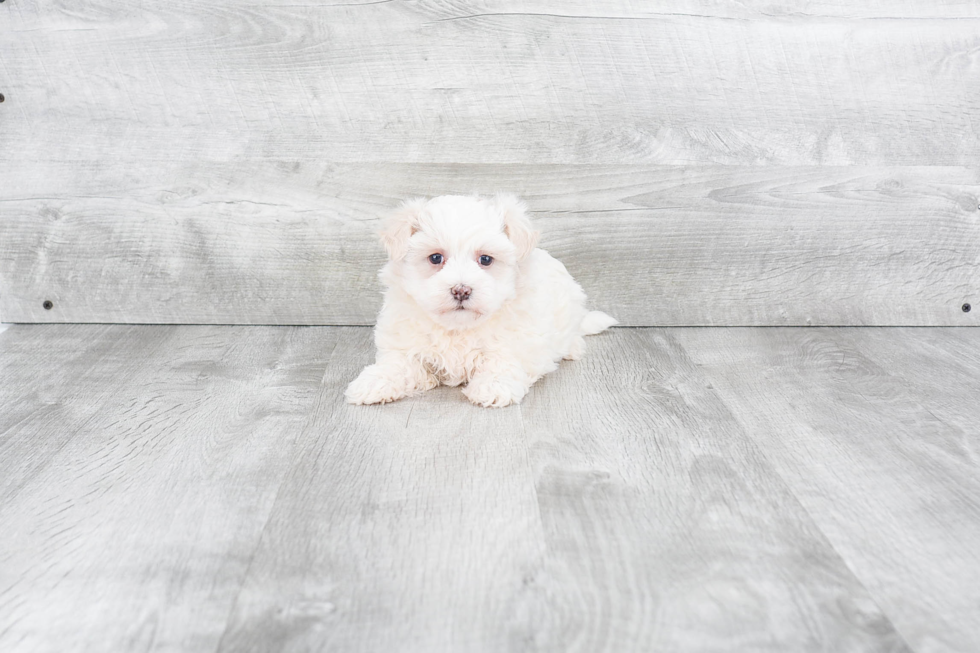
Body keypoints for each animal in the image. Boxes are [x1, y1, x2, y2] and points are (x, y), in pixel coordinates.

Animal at [346, 194, 612, 404]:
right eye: (435, 258)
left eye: (485, 259)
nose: (461, 290)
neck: (458, 328)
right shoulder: (405, 341)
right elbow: (397, 363)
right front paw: (373, 382)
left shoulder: (520, 338)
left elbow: (504, 358)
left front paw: (493, 386)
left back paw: (573, 347)